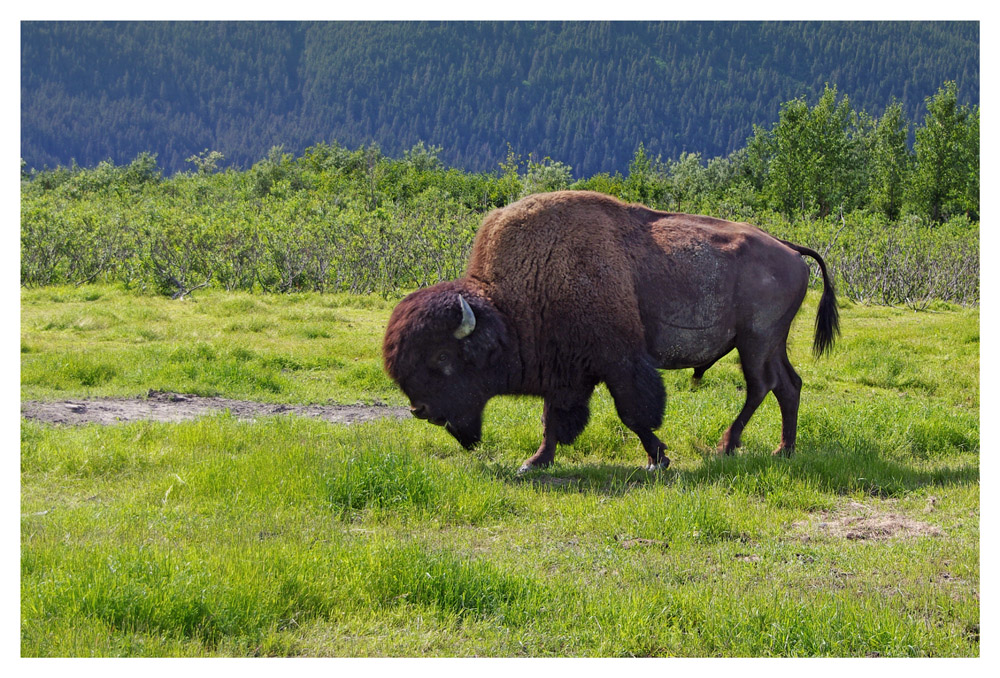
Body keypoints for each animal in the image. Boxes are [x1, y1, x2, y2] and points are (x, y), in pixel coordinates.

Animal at [382, 190, 836, 472]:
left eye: (443, 357)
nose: (420, 410)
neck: (509, 304)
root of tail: (789, 249)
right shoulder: (566, 372)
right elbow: (553, 418)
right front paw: (535, 462)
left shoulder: (619, 362)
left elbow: (633, 413)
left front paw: (657, 460)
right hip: (771, 342)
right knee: (788, 385)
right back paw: (783, 450)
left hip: (754, 341)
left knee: (761, 386)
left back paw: (729, 446)